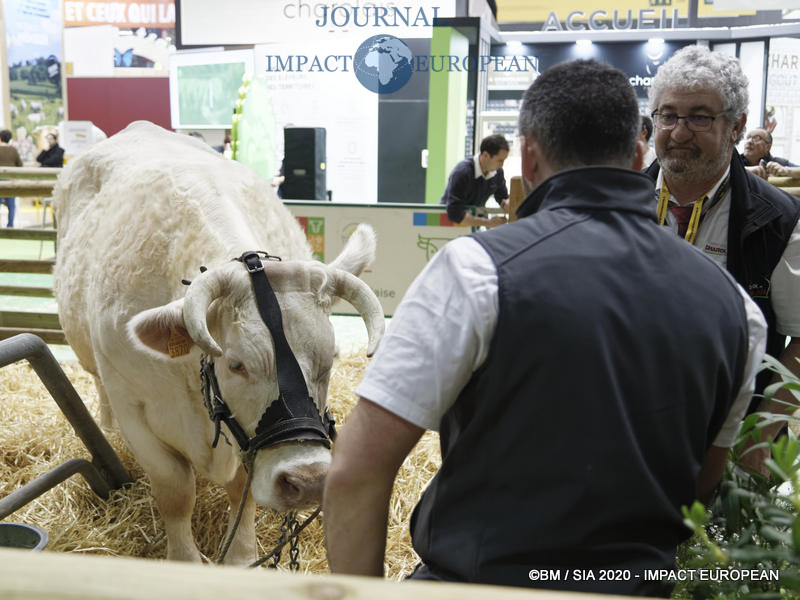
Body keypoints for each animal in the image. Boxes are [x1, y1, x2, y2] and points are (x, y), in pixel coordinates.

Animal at [53, 122, 384, 564]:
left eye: (329, 360)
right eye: (236, 364)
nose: (310, 479)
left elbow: (241, 486)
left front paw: (241, 555)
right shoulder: (134, 407)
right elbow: (176, 491)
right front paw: (185, 559)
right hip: (97, 368)